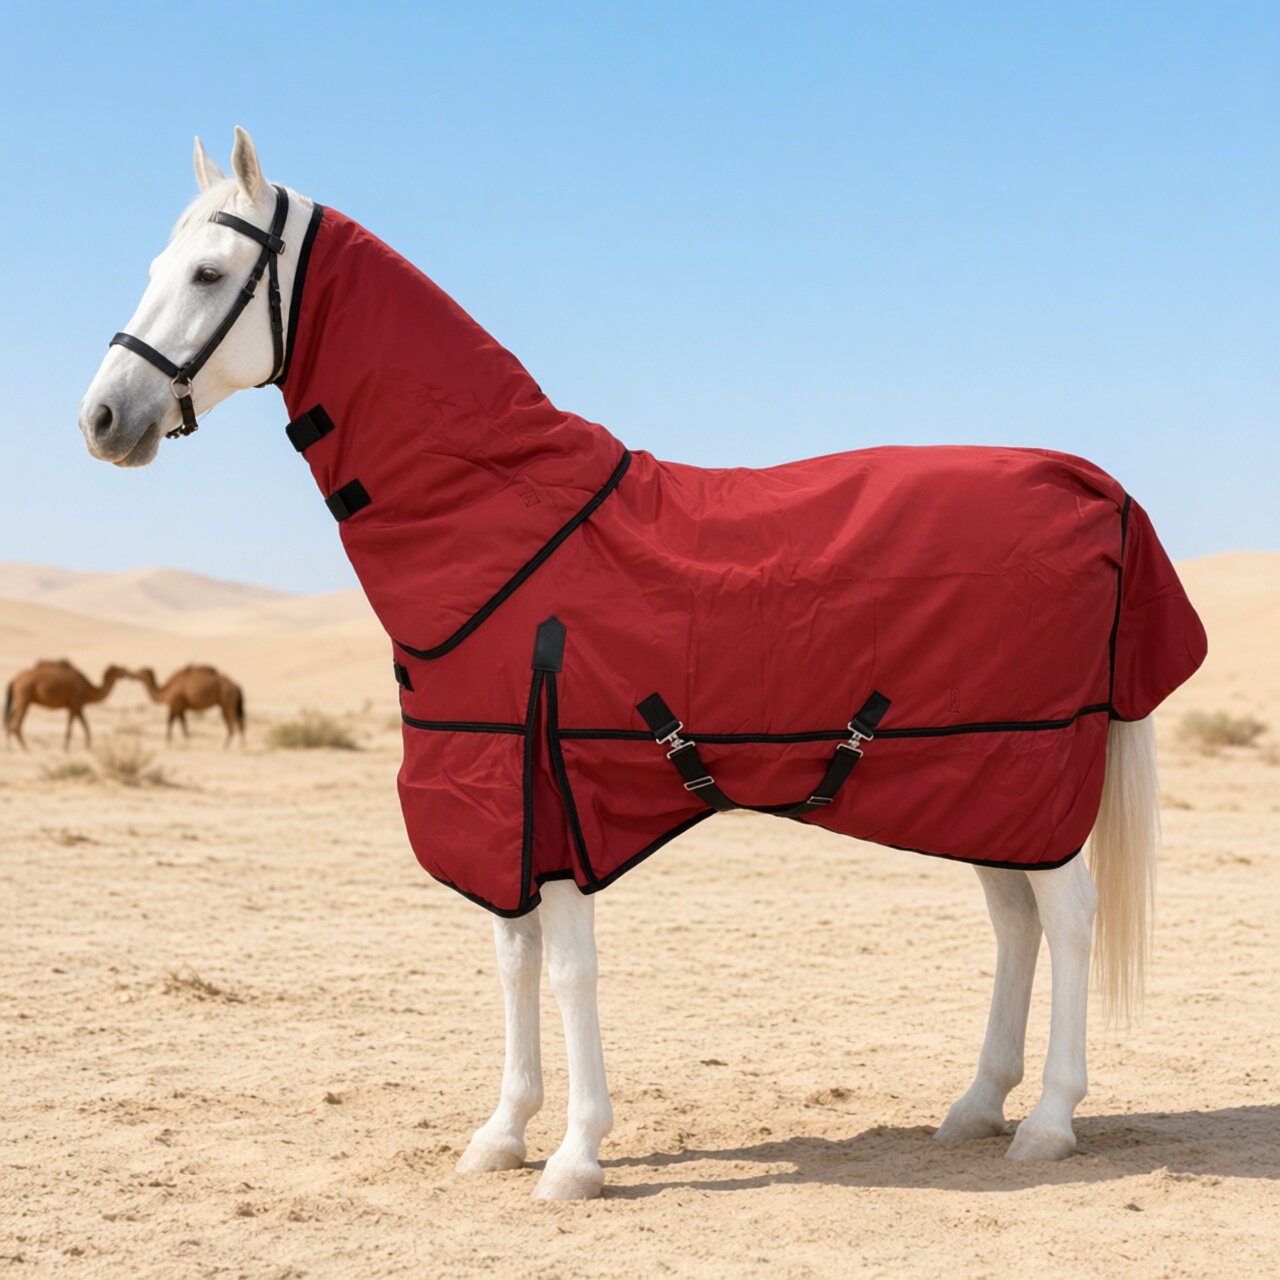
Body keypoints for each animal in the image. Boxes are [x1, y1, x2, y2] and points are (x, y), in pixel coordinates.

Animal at [77, 128, 1204, 1200]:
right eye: (158, 265)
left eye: (210, 274)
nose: (100, 419)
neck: (504, 519)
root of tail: (1094, 486)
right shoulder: (506, 803)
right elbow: (513, 959)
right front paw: (502, 1133)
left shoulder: (559, 786)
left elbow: (569, 971)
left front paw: (577, 1154)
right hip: (984, 787)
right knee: (1014, 924)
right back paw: (975, 1105)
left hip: (1027, 773)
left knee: (1065, 918)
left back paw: (1047, 1120)